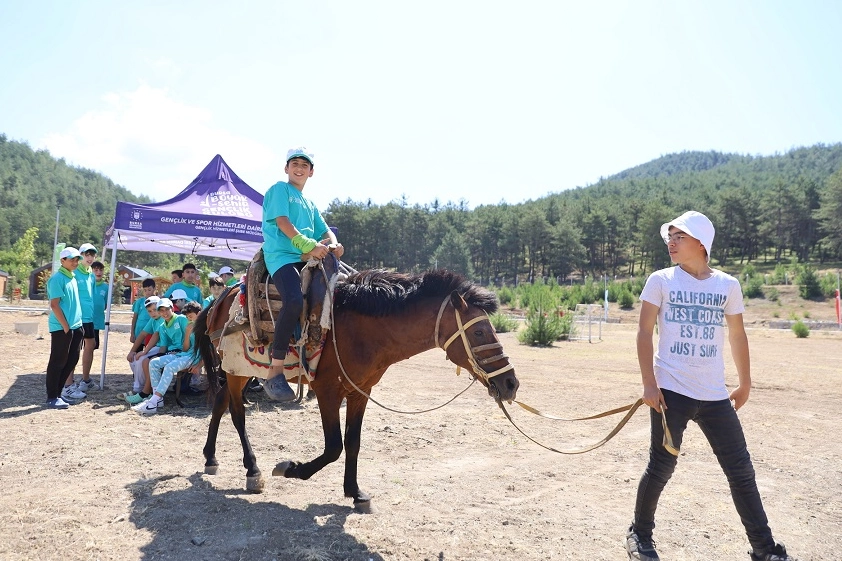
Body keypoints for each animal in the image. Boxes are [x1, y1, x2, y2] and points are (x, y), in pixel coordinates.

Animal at [194, 266, 520, 508]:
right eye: (480, 331)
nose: (510, 383)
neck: (361, 330)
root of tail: (221, 299)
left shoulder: (360, 392)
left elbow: (353, 442)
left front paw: (355, 492)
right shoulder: (327, 392)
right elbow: (334, 446)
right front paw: (292, 468)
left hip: (238, 371)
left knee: (221, 402)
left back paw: (210, 457)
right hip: (236, 370)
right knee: (237, 414)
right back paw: (253, 470)